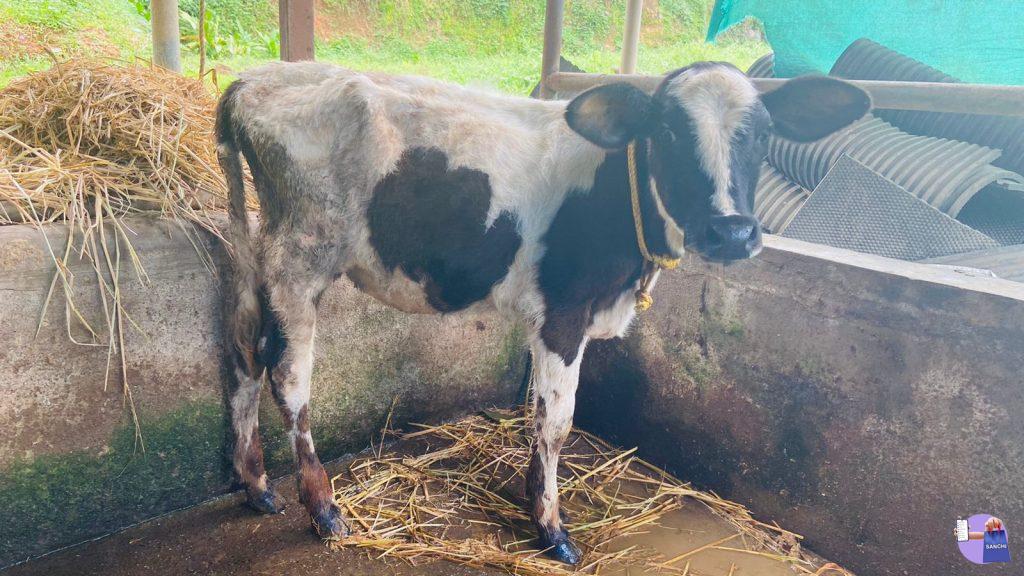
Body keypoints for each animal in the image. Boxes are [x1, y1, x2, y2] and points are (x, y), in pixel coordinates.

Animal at [215, 60, 869, 565]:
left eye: (763, 132)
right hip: (303, 259)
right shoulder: (563, 312)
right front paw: (552, 529)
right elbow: (558, 423)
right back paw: (323, 508)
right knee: (288, 378)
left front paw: (533, 498)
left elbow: (537, 414)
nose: (732, 232)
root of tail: (255, 77)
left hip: (261, 259)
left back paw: (257, 486)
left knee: (243, 357)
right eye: (667, 131)